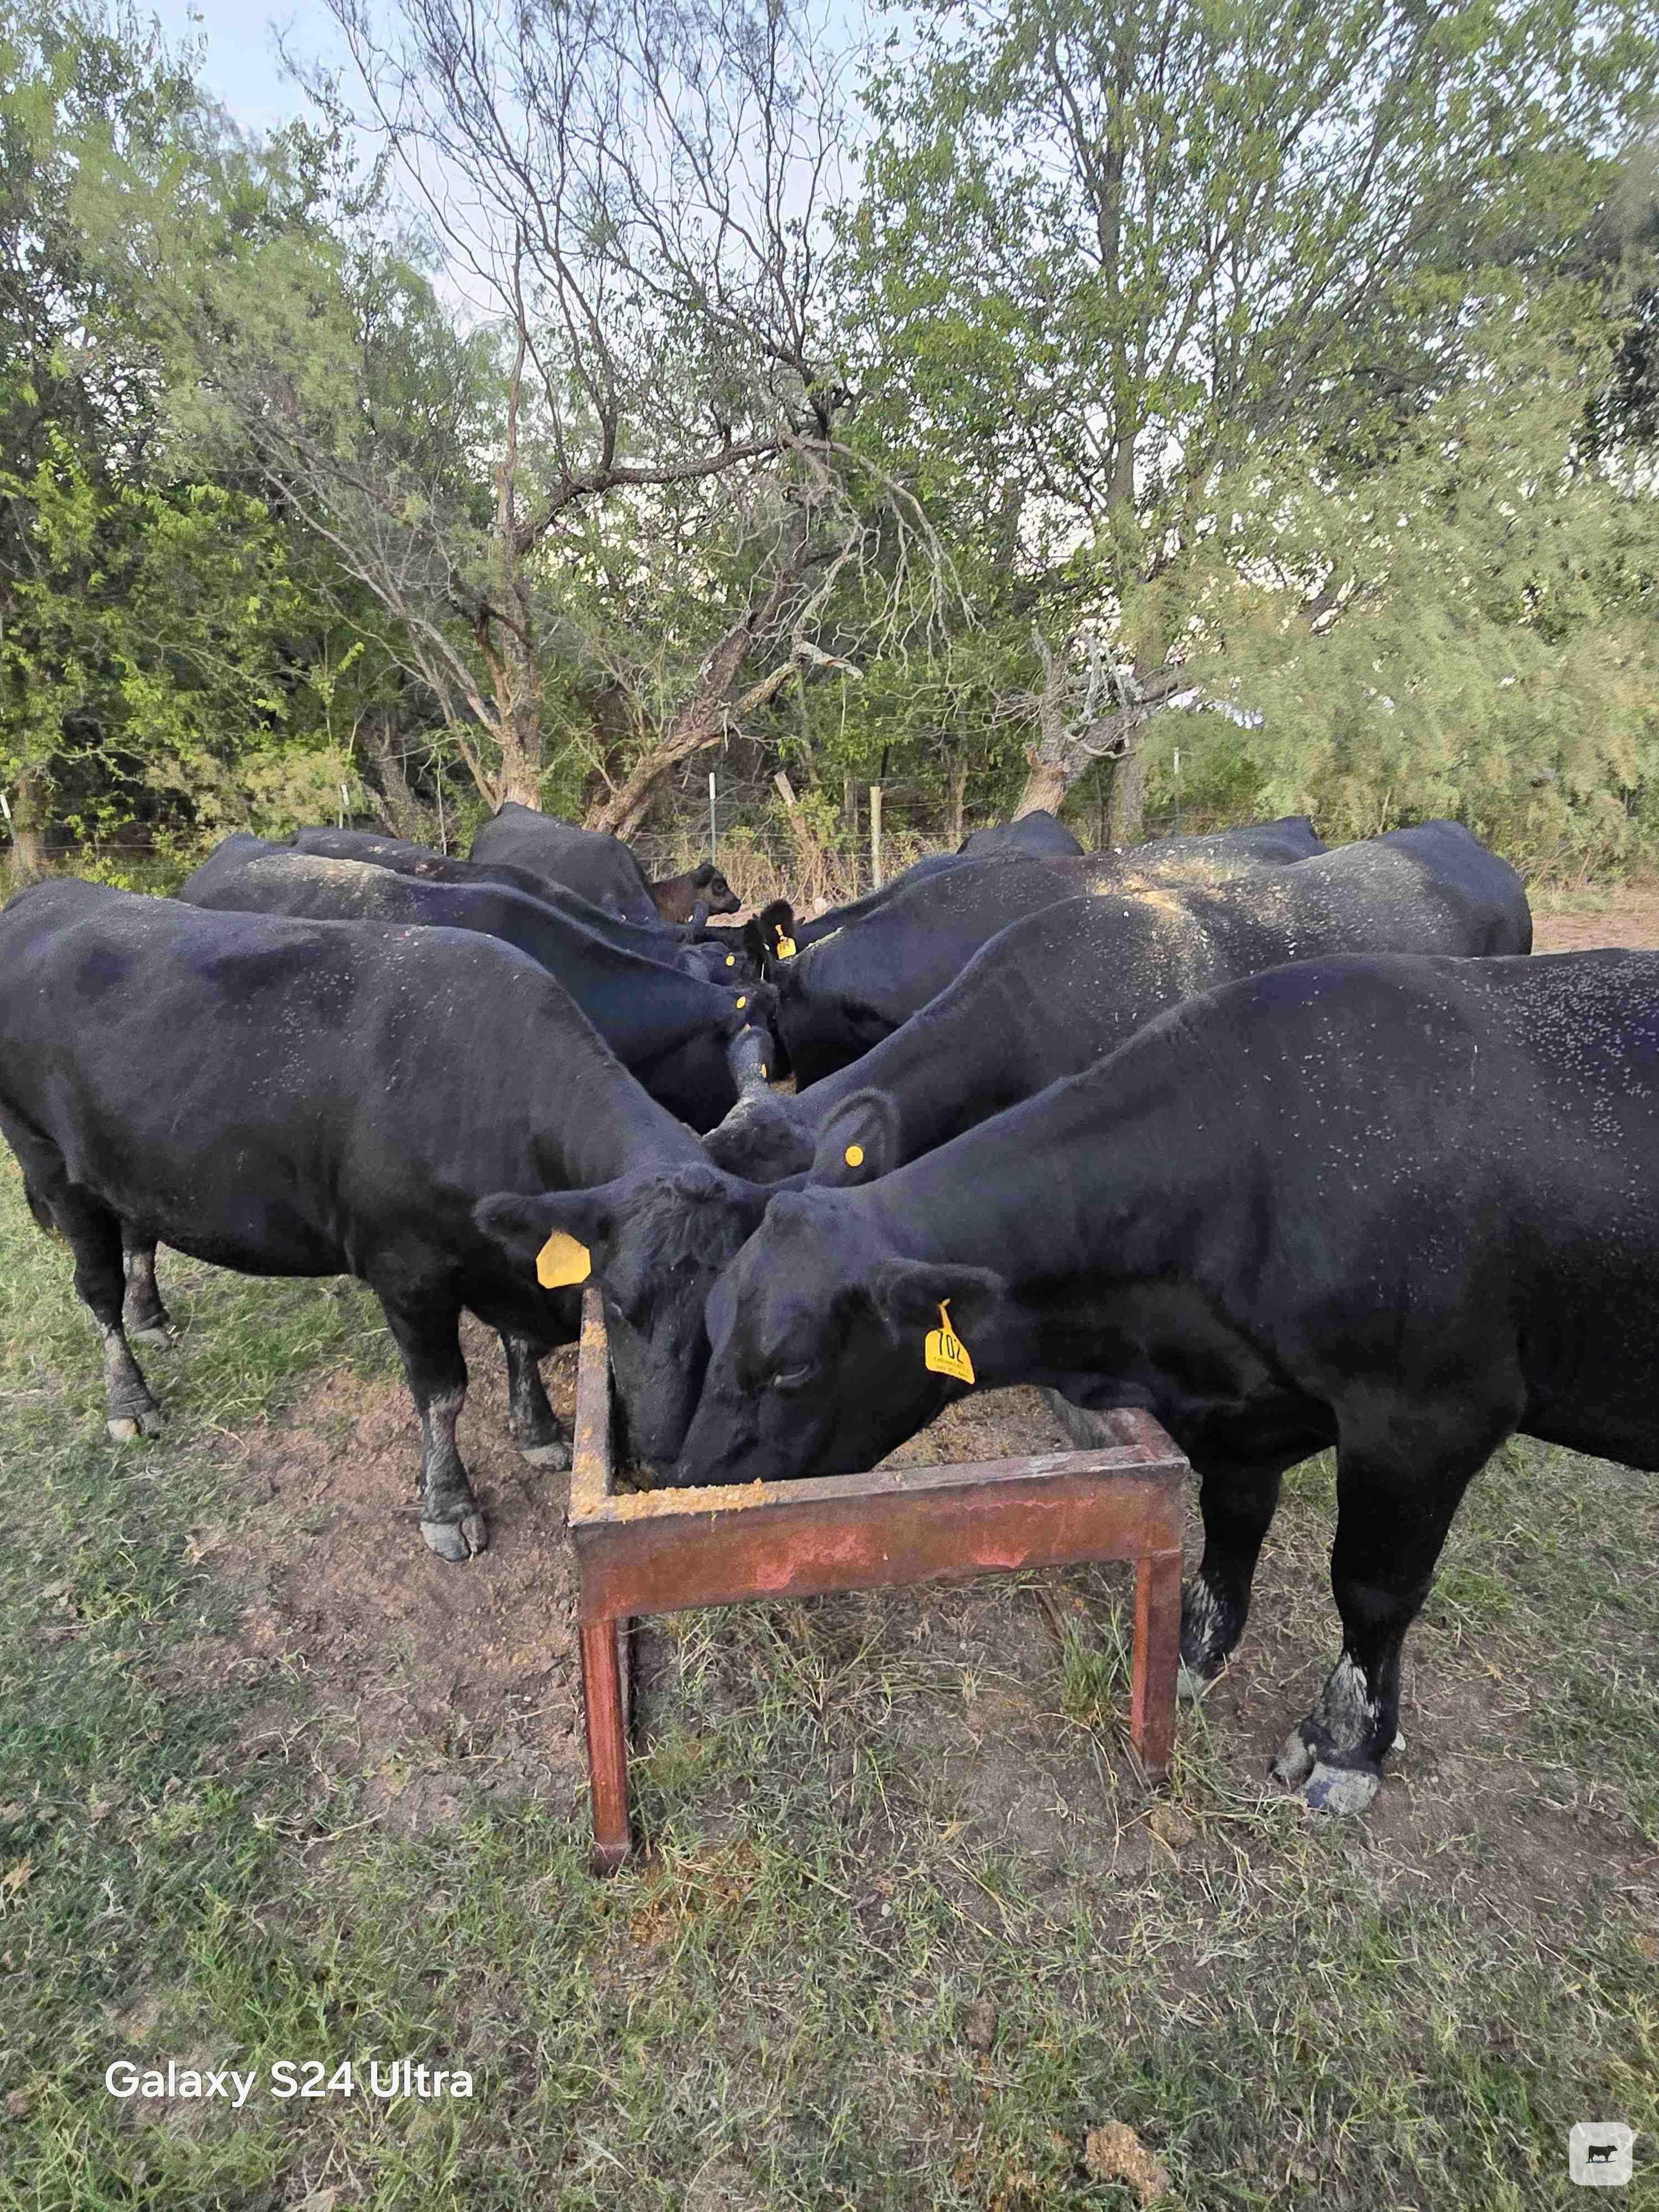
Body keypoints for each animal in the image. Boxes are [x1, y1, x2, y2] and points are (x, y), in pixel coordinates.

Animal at [0, 883, 773, 1553]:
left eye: (723, 1314)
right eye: (616, 1305)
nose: (665, 1451)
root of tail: (45, 896)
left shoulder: (508, 1254)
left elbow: (522, 1348)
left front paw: (538, 1431)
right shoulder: (407, 1272)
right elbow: (442, 1395)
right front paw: (449, 1506)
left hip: (122, 1166)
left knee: (137, 1235)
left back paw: (152, 1316)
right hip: (46, 1158)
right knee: (95, 1291)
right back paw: (129, 1399)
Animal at [668, 948, 1659, 1813]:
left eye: (791, 1366)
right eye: (713, 1320)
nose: (688, 1483)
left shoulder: (1428, 1417)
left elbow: (1372, 1586)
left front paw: (1346, 1748)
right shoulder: (1243, 1414)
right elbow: (1231, 1526)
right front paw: (1189, 1650)